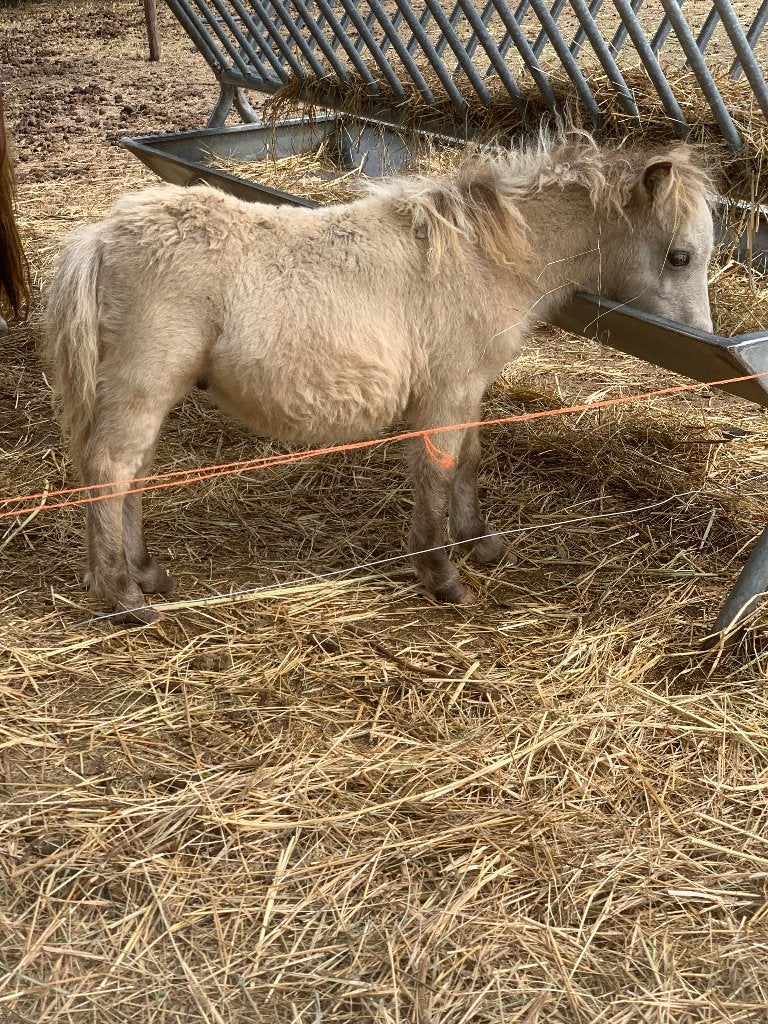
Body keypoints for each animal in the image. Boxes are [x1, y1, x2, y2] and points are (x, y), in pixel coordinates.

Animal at [44, 134, 715, 624]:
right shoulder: (447, 390)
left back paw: (145, 572)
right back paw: (122, 597)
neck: (483, 256)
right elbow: (438, 469)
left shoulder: (468, 390)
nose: (704, 346)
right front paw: (443, 577)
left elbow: (467, 461)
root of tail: (100, 236)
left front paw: (480, 541)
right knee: (110, 470)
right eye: (680, 256)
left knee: (132, 474)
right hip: (142, 385)